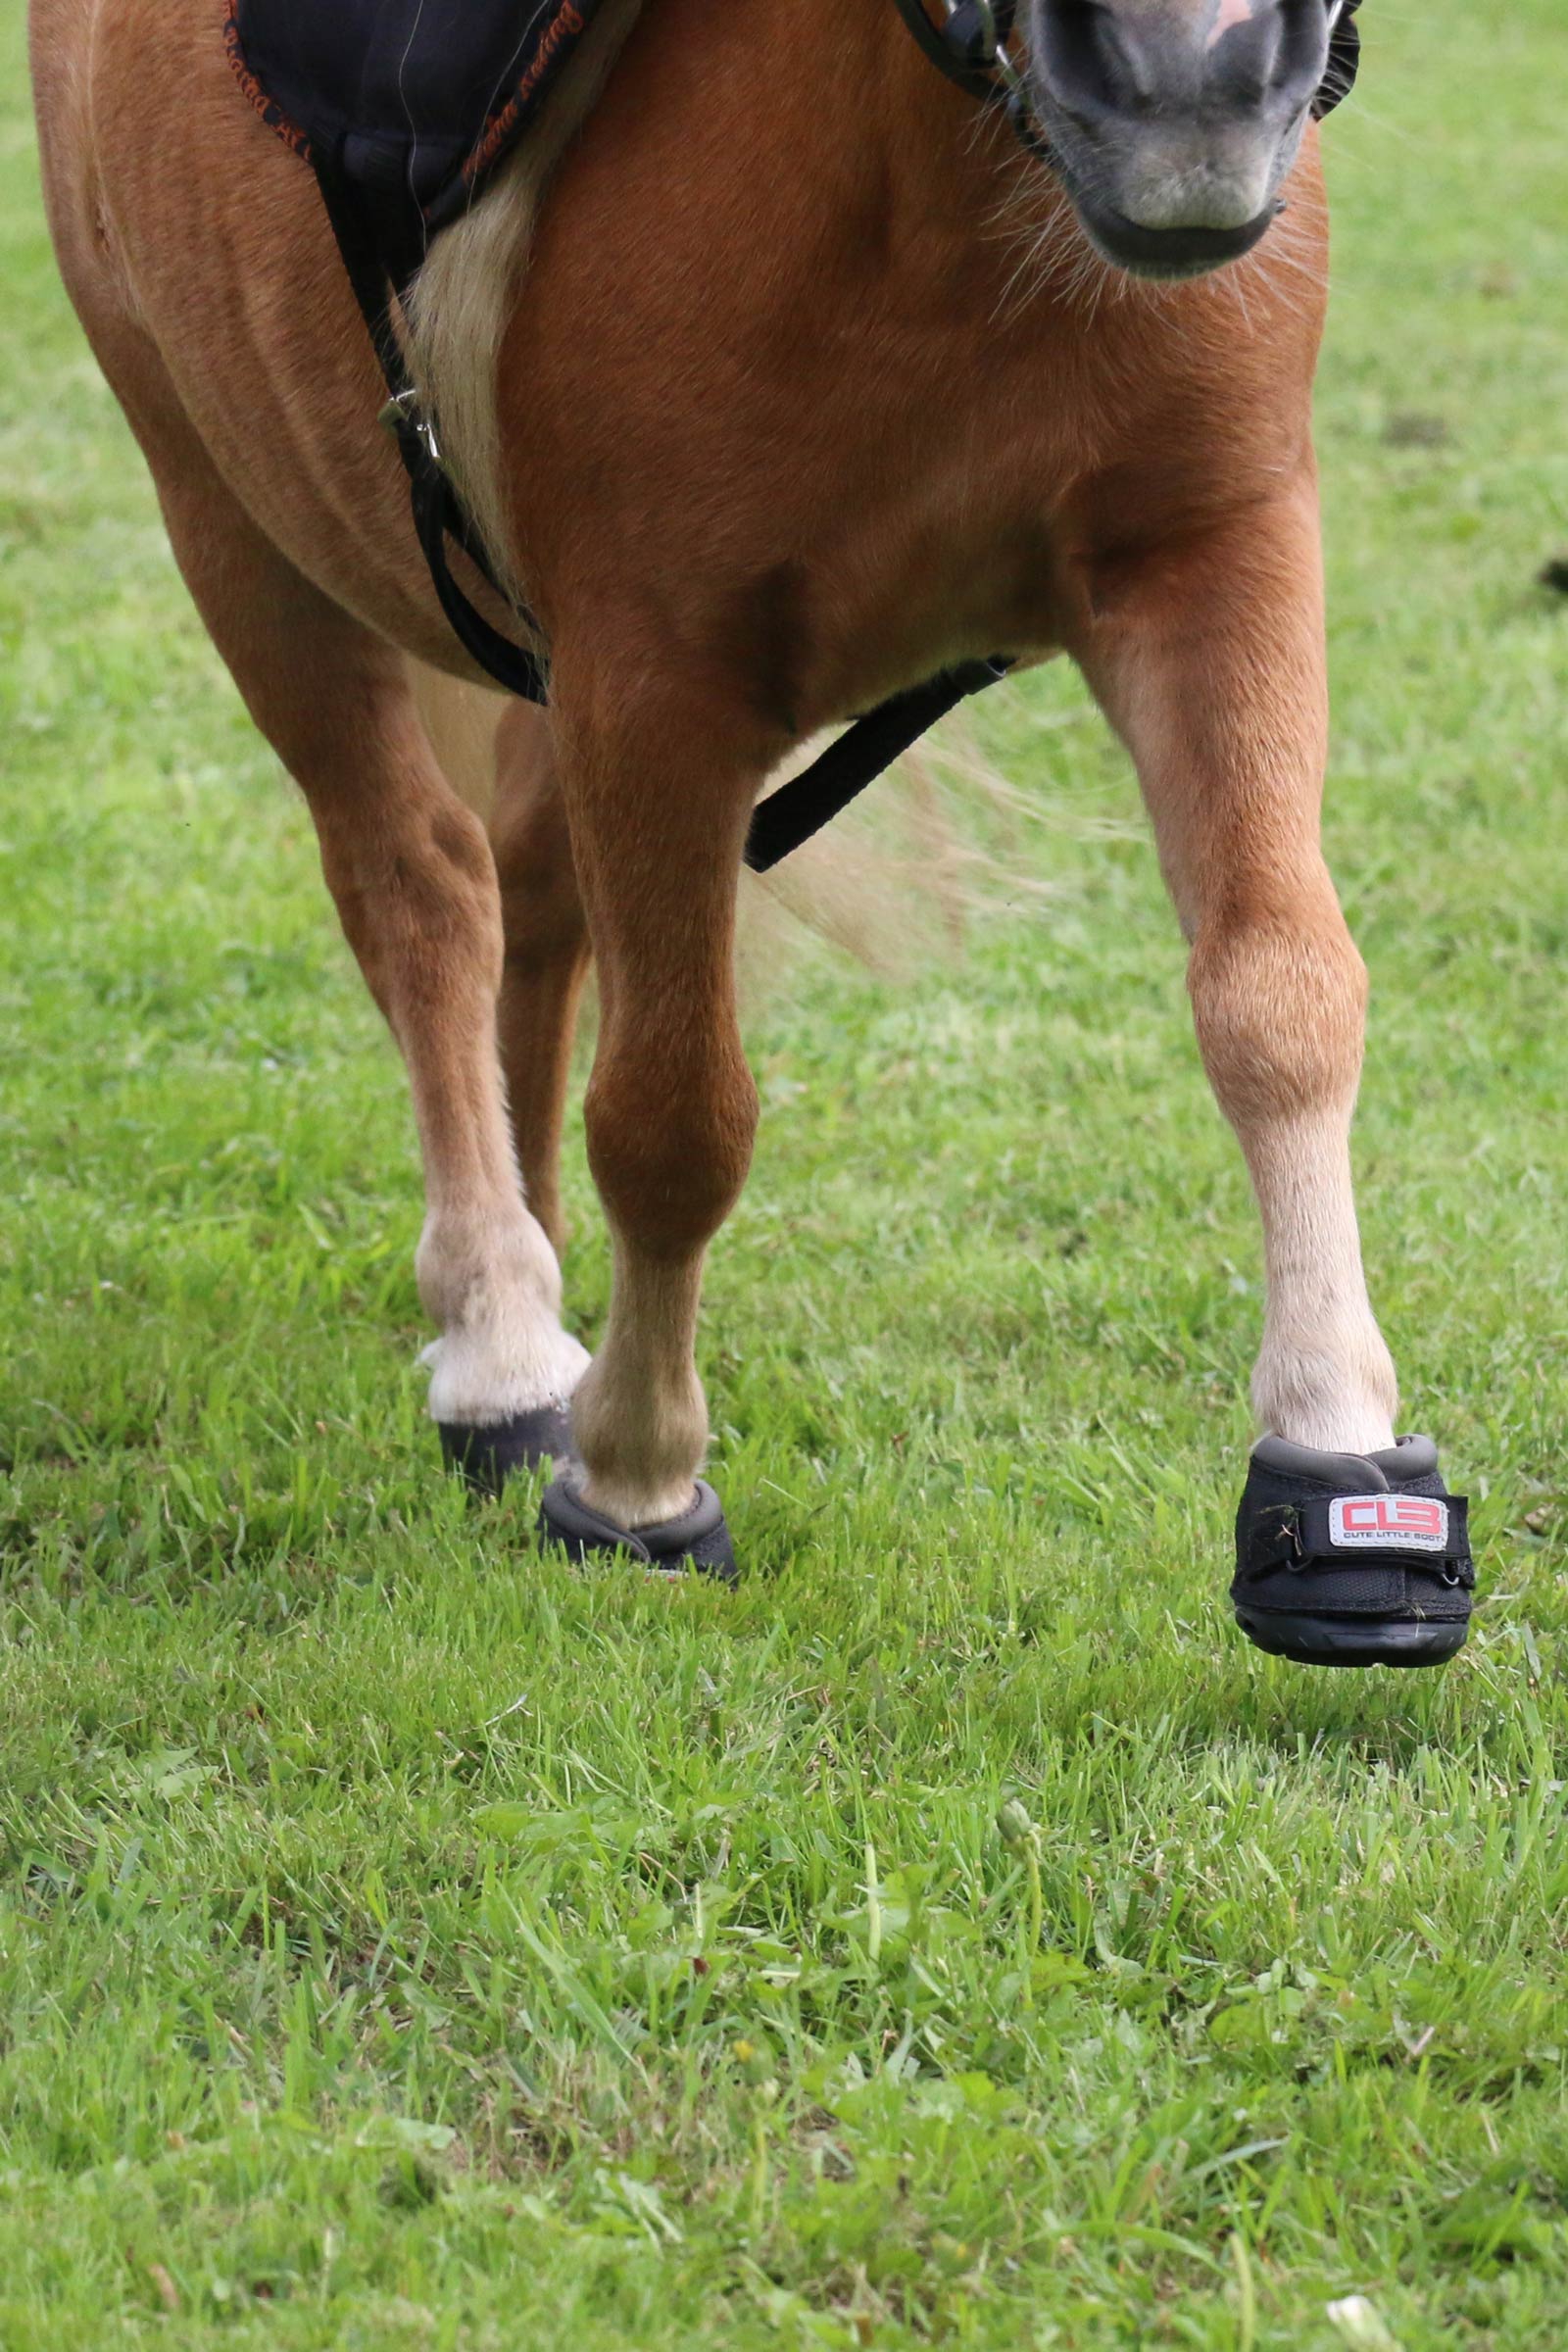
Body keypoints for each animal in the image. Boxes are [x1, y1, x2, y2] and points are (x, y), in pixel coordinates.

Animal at [27, 0, 1475, 1662]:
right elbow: (674, 1118)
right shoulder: (655, 678)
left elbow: (1281, 997)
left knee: (533, 903)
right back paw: (501, 1332)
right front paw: (640, 1482)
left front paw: (1340, 1455)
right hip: (235, 531)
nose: (1198, 77)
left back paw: (536, 1265)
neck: (928, 185)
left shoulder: (1211, 556)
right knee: (422, 895)